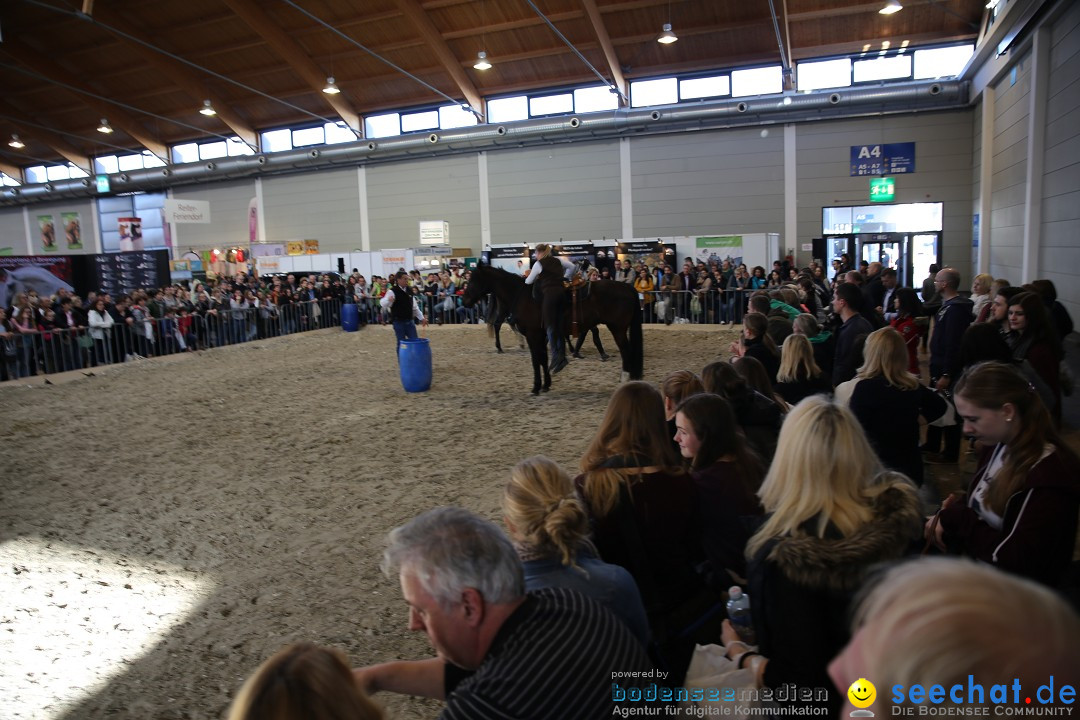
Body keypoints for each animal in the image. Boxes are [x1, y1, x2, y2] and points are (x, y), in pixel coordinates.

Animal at [462, 264, 639, 395]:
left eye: (473, 280)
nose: (464, 300)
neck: (524, 296)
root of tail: (627, 288)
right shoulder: (541, 335)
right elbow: (542, 358)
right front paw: (546, 384)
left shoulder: (533, 335)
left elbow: (536, 360)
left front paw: (536, 387)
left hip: (618, 329)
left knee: (626, 351)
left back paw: (624, 379)